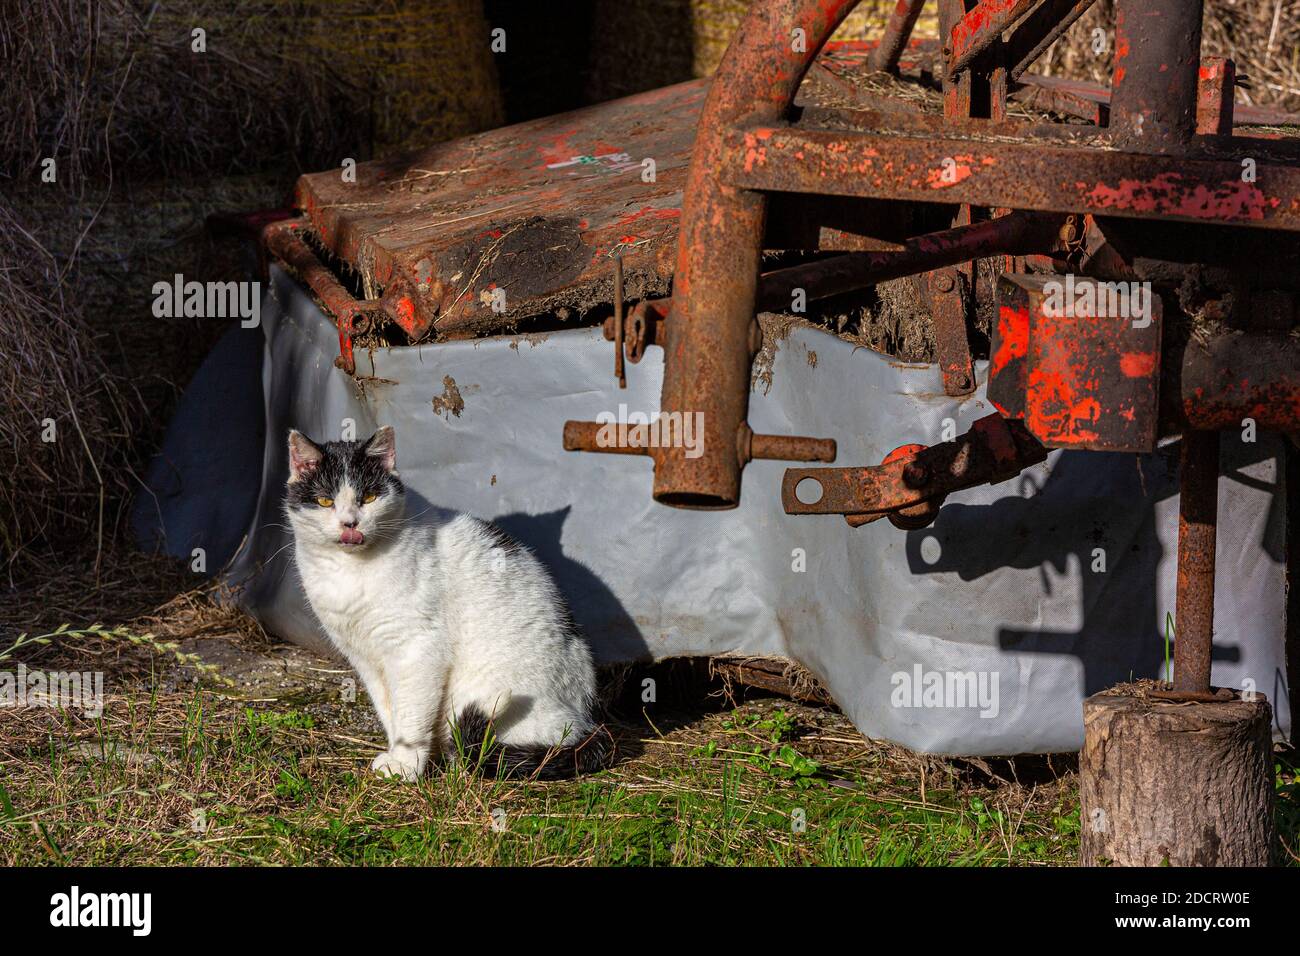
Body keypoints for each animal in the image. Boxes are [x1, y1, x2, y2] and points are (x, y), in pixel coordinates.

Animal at [282, 429, 605, 780]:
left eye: (368, 497)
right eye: (325, 501)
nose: (349, 523)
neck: (349, 571)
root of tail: (589, 720)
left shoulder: (417, 648)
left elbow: (411, 712)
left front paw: (406, 763)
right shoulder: (363, 656)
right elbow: (389, 709)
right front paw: (403, 756)